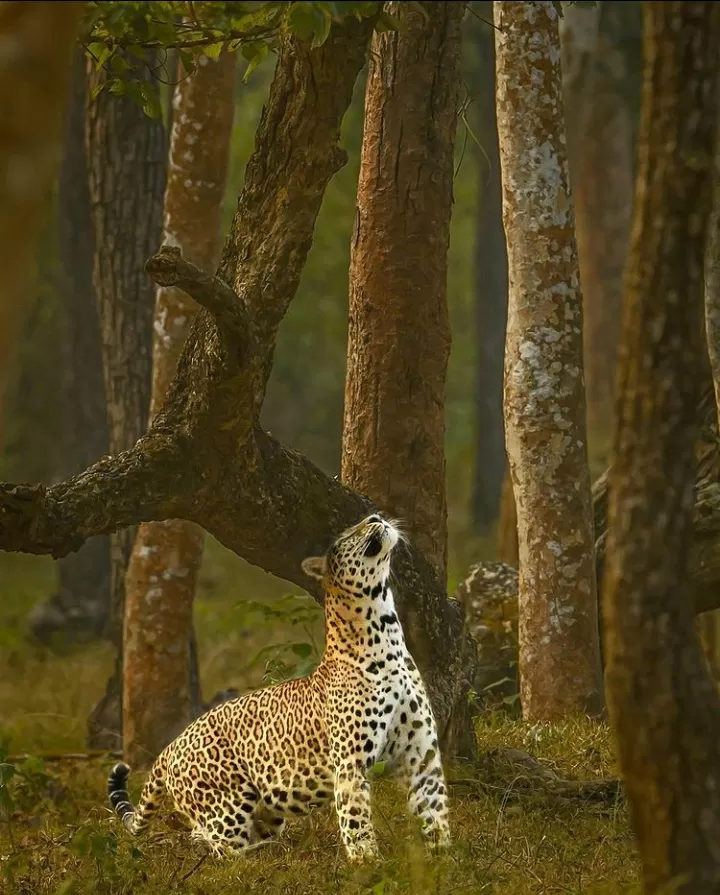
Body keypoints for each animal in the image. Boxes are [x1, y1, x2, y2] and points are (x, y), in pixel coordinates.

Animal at [107, 516, 450, 864]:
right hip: (227, 807)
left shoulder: (422, 755)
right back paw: (265, 859)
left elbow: (434, 809)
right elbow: (356, 821)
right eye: (347, 535)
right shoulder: (349, 764)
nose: (374, 518)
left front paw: (443, 858)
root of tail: (171, 747)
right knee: (225, 853)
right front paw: (368, 865)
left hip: (265, 812)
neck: (385, 630)